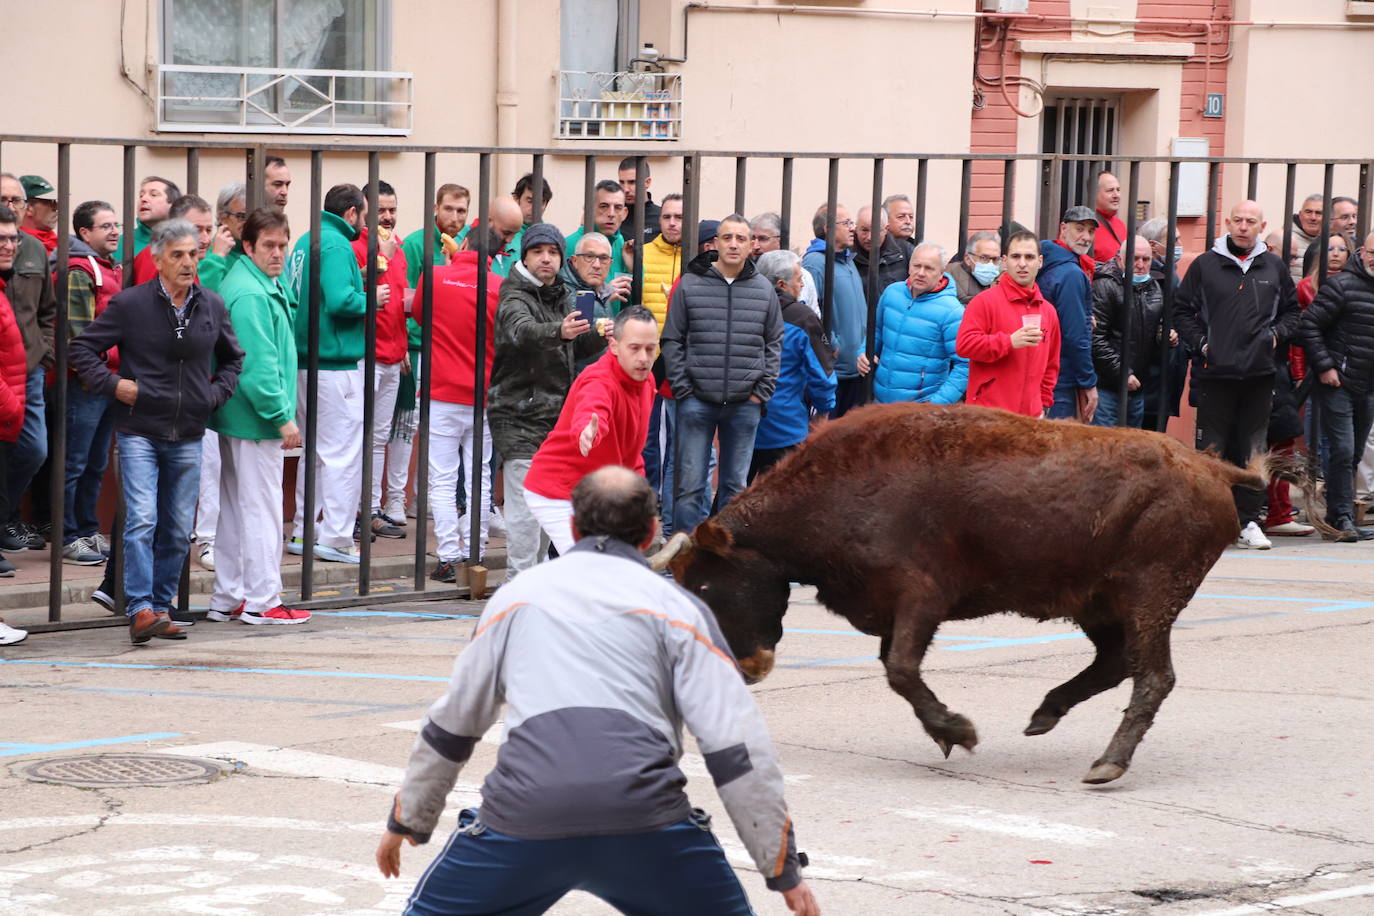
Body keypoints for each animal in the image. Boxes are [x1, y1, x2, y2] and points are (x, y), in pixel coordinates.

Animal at [654, 403, 1264, 785]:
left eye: (705, 583)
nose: (747, 668)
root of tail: (1209, 466)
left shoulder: (920, 598)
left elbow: (900, 668)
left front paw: (958, 731)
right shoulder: (900, 611)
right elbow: (897, 668)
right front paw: (948, 732)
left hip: (1149, 598)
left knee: (1152, 677)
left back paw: (1107, 763)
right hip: (1102, 605)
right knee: (1115, 663)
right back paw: (1045, 714)